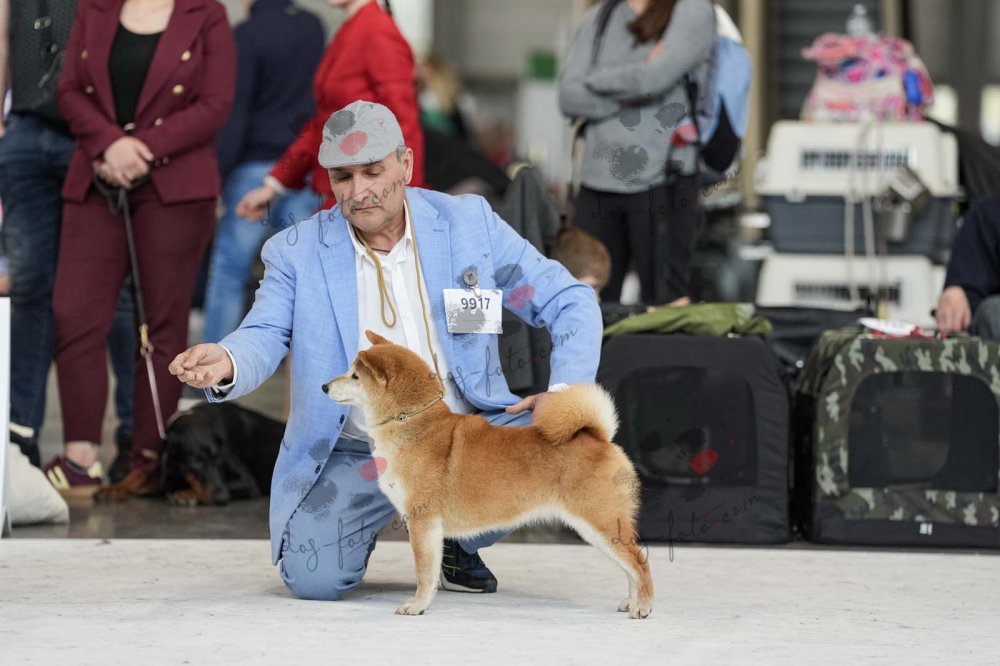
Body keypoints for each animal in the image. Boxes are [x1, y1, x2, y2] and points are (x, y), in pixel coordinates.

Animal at [322, 330, 653, 618]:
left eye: (355, 376)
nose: (325, 386)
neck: (411, 423)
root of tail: (598, 437)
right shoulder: (427, 525)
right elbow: (430, 569)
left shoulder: (422, 519)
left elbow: (424, 572)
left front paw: (416, 606)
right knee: (630, 564)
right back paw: (631, 600)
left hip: (600, 522)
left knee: (639, 562)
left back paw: (643, 606)